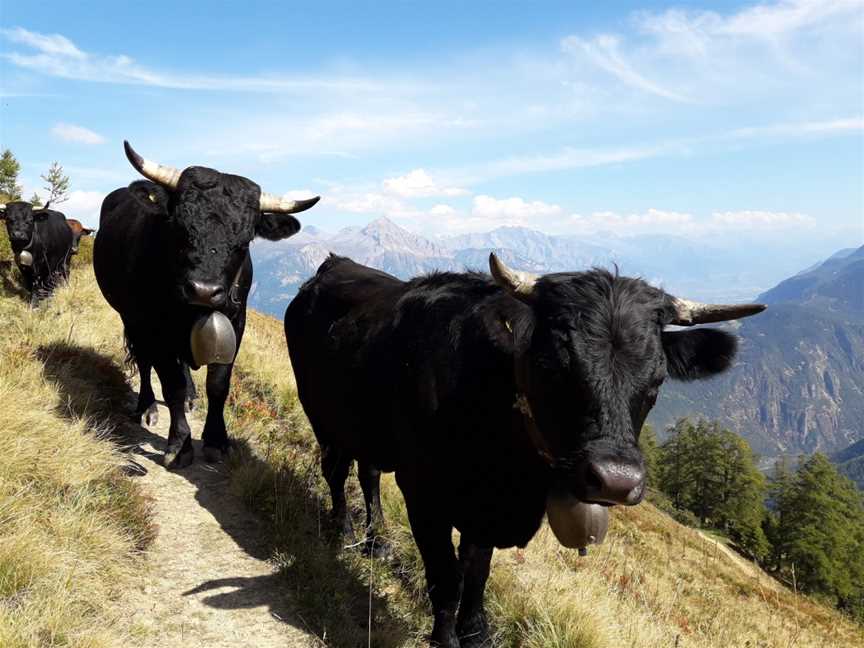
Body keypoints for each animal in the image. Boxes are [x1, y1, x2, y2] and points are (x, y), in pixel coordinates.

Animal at [95, 140, 318, 466]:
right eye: (178, 224)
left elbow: (218, 385)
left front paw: (215, 440)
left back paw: (190, 396)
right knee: (145, 362)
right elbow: (170, 383)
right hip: (130, 318)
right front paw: (180, 444)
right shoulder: (151, 325)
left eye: (245, 239)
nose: (203, 290)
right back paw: (147, 407)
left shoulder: (236, 323)